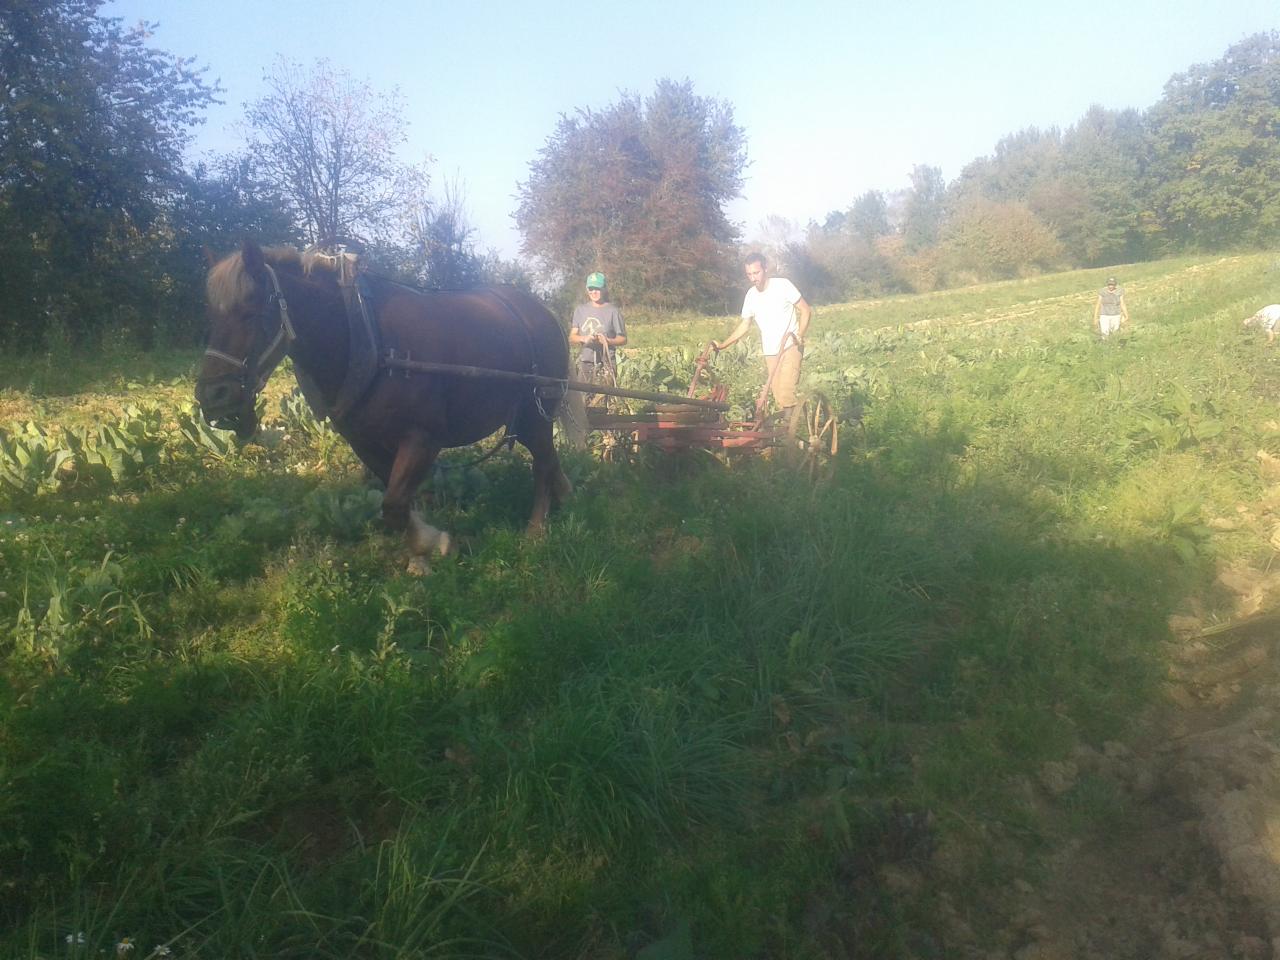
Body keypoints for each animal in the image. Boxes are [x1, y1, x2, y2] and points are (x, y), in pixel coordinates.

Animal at [197, 241, 573, 570]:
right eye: (212, 315)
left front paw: (432, 543)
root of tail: (544, 314)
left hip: (539, 410)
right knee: (549, 457)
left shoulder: (423, 437)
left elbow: (393, 504)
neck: (369, 340)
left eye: (251, 311)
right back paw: (564, 494)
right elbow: (397, 502)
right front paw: (421, 552)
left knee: (541, 462)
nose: (212, 396)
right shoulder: (365, 442)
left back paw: (537, 527)